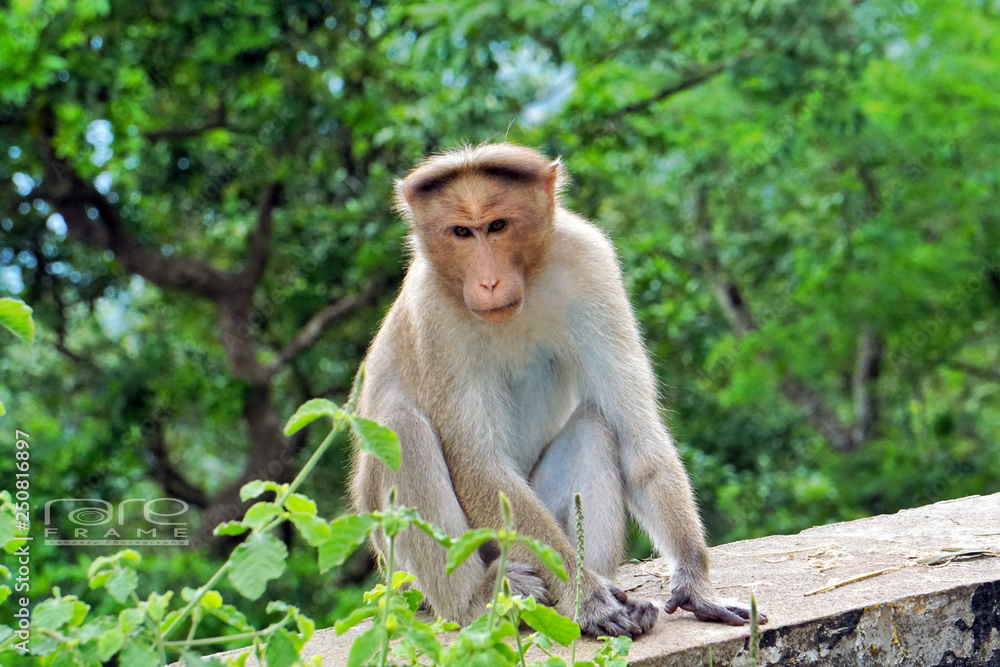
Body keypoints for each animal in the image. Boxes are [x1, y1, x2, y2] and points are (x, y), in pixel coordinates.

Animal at [350, 142, 764, 637]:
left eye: (497, 226)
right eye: (461, 232)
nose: (488, 281)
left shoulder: (589, 261)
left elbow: (635, 435)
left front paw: (695, 586)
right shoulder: (432, 310)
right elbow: (478, 466)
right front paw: (589, 601)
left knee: (595, 427)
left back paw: (595, 587)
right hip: (413, 575)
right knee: (403, 430)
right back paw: (479, 601)